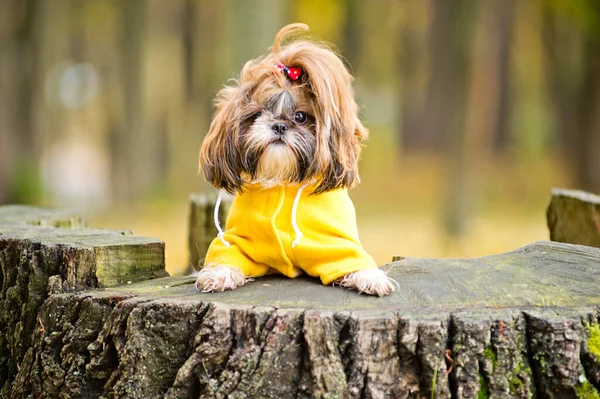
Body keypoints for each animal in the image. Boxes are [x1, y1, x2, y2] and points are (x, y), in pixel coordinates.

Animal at [195, 22, 396, 296]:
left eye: (300, 117)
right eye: (256, 115)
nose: (279, 125)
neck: (282, 180)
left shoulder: (334, 245)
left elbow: (352, 260)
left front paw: (371, 277)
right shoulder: (236, 241)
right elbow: (225, 255)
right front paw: (218, 274)